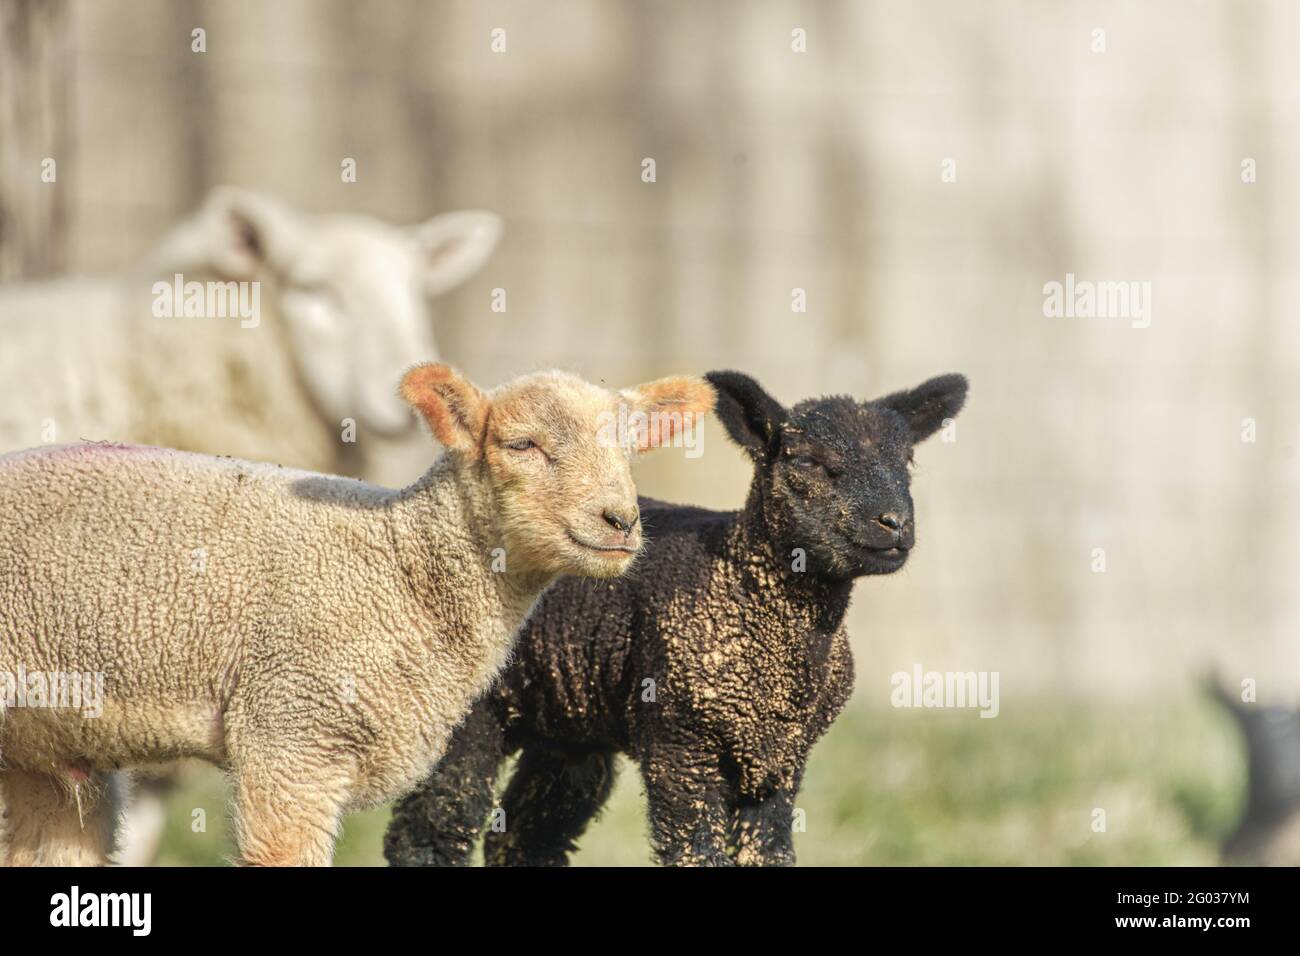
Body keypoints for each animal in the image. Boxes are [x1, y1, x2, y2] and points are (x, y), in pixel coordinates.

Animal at [379, 366, 972, 868]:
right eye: (805, 461)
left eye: (907, 462)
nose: (893, 524)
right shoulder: (681, 744)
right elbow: (696, 852)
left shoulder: (782, 759)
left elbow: (768, 854)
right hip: (468, 712)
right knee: (432, 832)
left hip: (569, 724)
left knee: (526, 837)